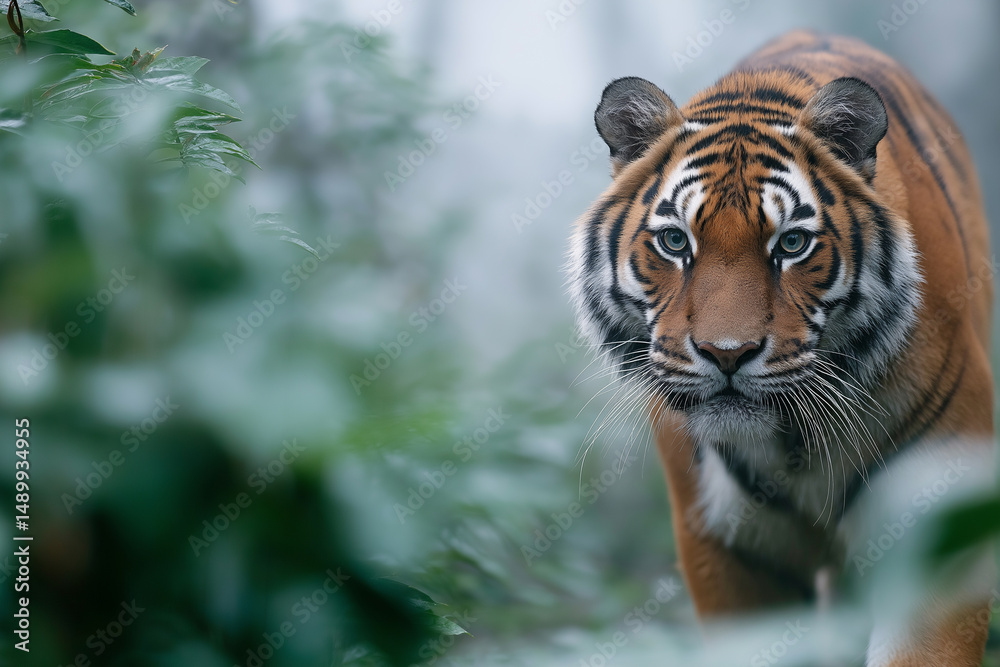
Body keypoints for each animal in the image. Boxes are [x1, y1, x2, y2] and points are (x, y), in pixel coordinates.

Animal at [567, 30, 995, 666]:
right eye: (674, 242)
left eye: (791, 244)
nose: (726, 353)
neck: (794, 443)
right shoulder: (727, 546)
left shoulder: (939, 525)